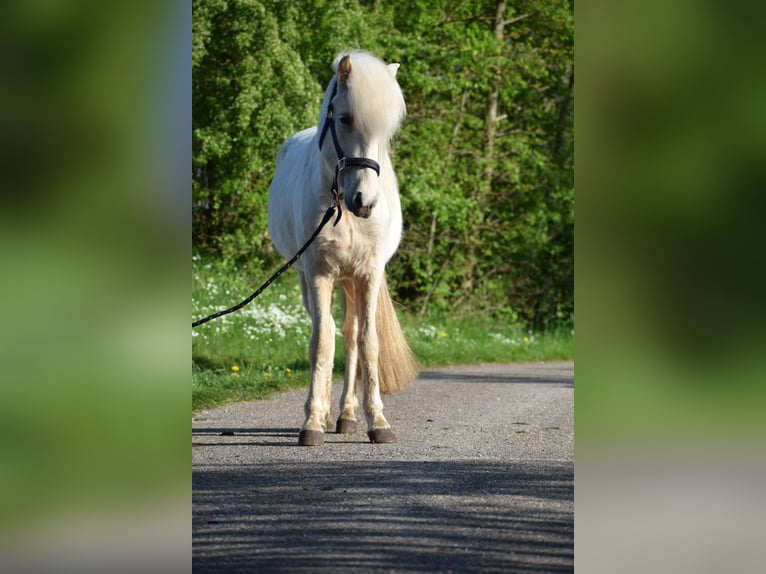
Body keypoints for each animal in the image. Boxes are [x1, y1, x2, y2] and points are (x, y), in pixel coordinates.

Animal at [270, 49, 420, 448]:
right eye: (344, 118)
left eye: (385, 132)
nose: (364, 201)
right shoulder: (319, 274)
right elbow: (322, 343)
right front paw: (312, 422)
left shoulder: (368, 274)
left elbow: (368, 343)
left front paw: (378, 422)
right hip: (314, 280)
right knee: (332, 333)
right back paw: (329, 414)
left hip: (351, 282)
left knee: (351, 337)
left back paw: (348, 415)